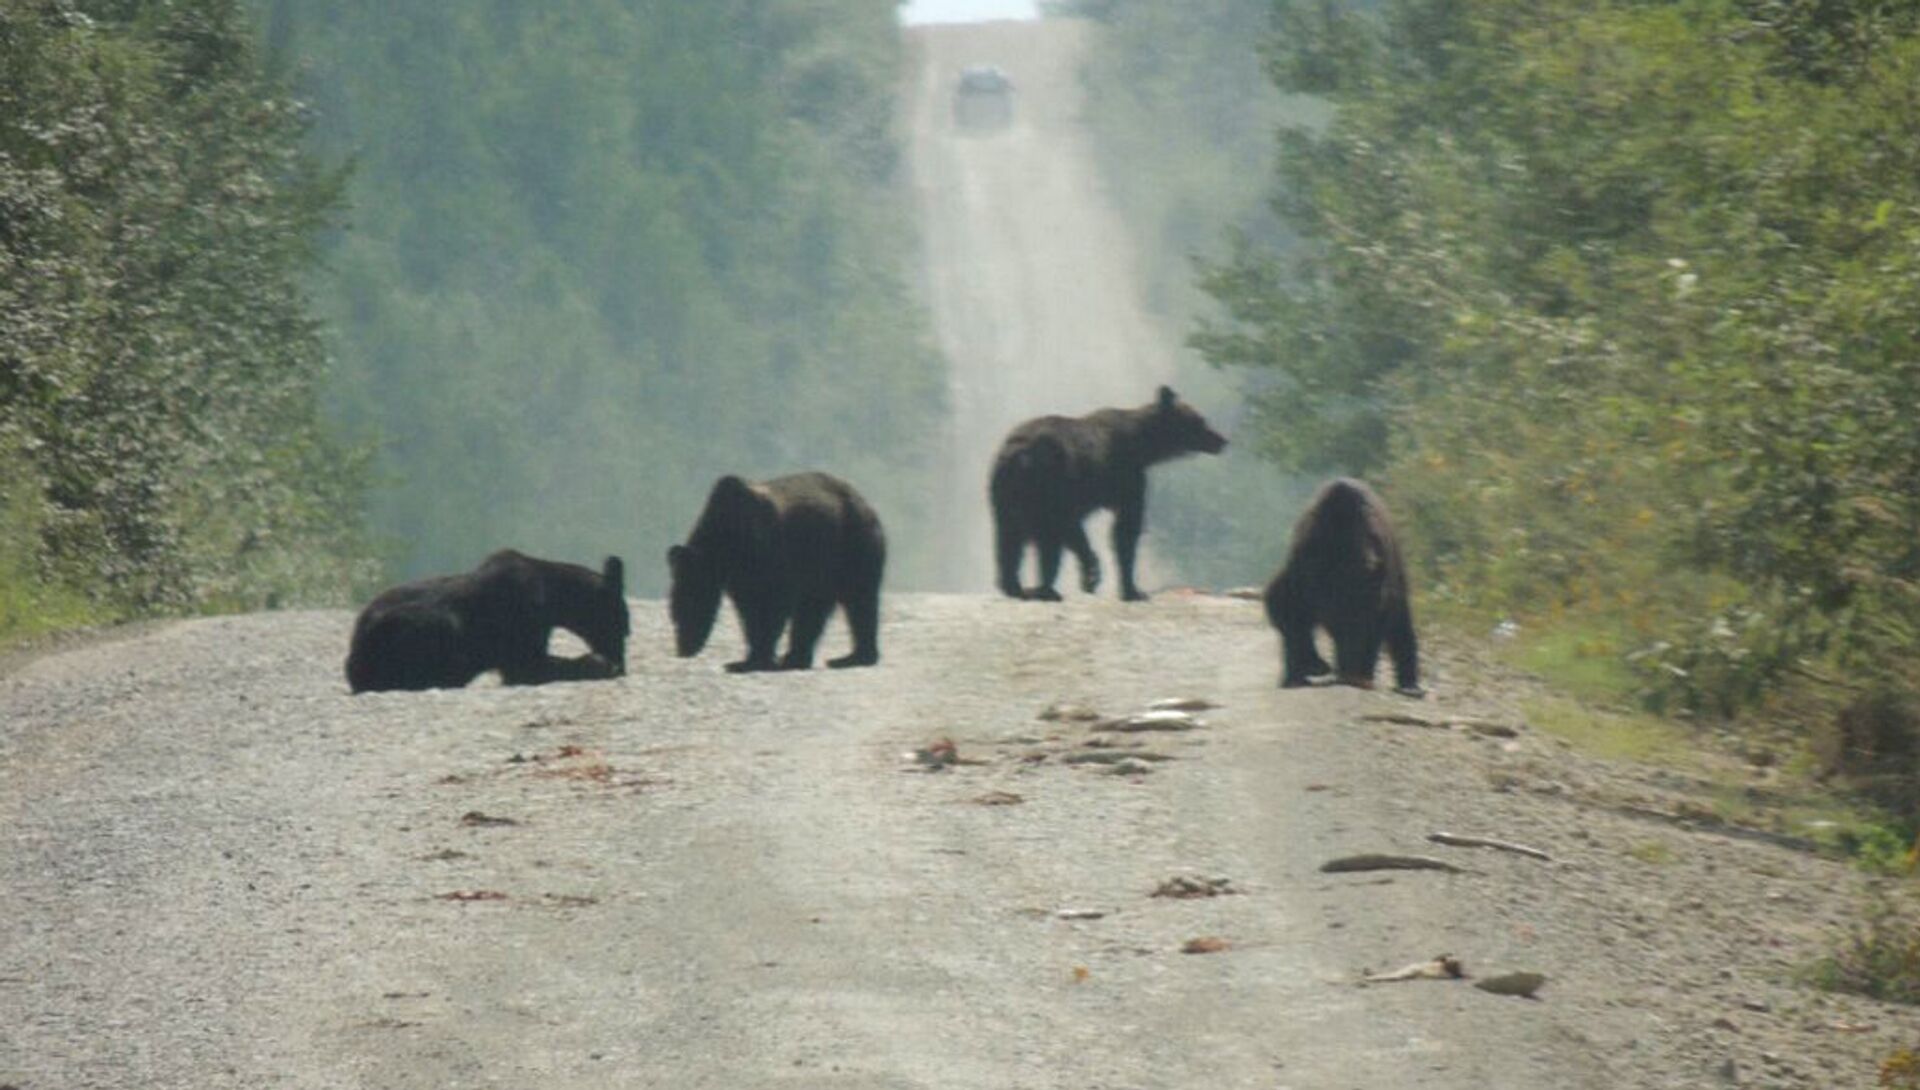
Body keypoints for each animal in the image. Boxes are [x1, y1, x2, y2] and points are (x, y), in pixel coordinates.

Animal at [337, 548, 622, 694]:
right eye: (622, 626)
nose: (622, 665)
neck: (555, 603)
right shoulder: (522, 638)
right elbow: (531, 666)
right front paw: (598, 664)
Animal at [668, 470, 883, 667]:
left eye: (690, 607)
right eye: (675, 614)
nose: (683, 649)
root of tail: (864, 502)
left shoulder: (769, 552)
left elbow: (774, 602)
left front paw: (753, 659)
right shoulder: (740, 576)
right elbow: (748, 608)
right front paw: (750, 657)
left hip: (853, 543)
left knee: (860, 599)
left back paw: (853, 657)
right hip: (824, 565)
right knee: (813, 608)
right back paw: (798, 658)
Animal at [990, 385, 1228, 606]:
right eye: (1200, 421)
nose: (1222, 440)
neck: (1143, 446)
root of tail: (1018, 454)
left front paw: (1094, 574)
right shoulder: (1125, 477)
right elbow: (1125, 529)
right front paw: (1131, 590)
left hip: (1005, 494)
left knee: (1009, 539)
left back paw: (1015, 586)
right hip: (1043, 481)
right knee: (1045, 539)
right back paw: (1045, 590)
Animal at [1259, 475, 1428, 698]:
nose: (1349, 672)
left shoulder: (1377, 585)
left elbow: (1378, 625)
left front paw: (1358, 671)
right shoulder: (1303, 566)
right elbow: (1286, 608)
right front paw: (1314, 666)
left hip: (1396, 570)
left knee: (1400, 624)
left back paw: (1407, 683)